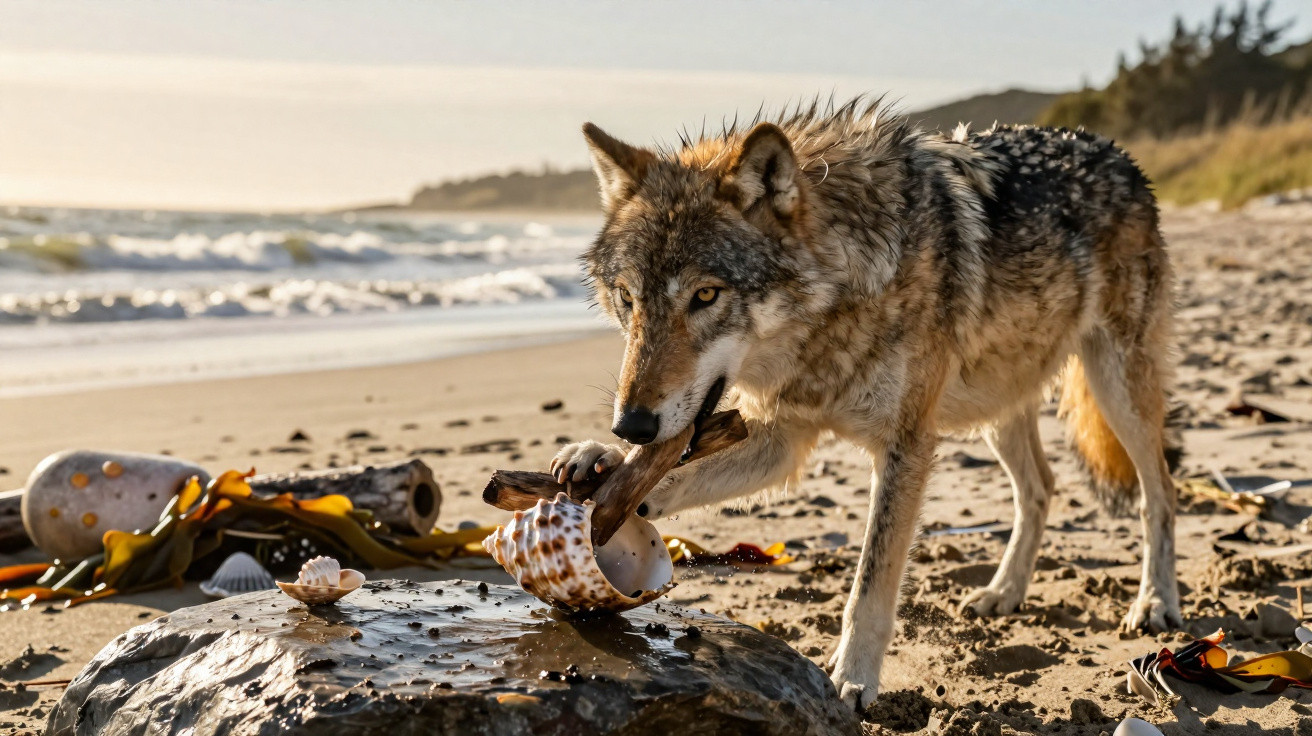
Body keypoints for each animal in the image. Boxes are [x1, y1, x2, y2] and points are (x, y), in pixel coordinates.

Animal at [551, 98, 1180, 708]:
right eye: (627, 298)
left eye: (706, 295)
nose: (630, 425)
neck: (838, 300)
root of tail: (1115, 151)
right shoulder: (782, 439)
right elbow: (663, 480)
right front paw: (598, 463)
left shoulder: (906, 445)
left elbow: (870, 583)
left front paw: (853, 676)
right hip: (997, 406)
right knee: (1040, 488)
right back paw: (1004, 591)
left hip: (1116, 387)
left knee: (1160, 492)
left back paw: (1154, 602)